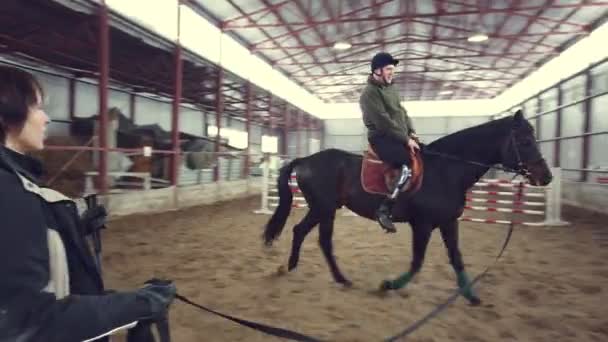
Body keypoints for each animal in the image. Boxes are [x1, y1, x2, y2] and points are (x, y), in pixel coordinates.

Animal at [262, 111, 552, 306]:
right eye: (525, 141)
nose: (546, 177)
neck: (446, 170)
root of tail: (305, 160)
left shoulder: (448, 222)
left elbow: (456, 258)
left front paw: (471, 296)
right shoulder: (422, 224)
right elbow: (417, 262)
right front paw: (387, 285)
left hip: (324, 209)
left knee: (305, 233)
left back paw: (296, 269)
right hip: (324, 208)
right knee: (317, 238)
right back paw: (329, 276)